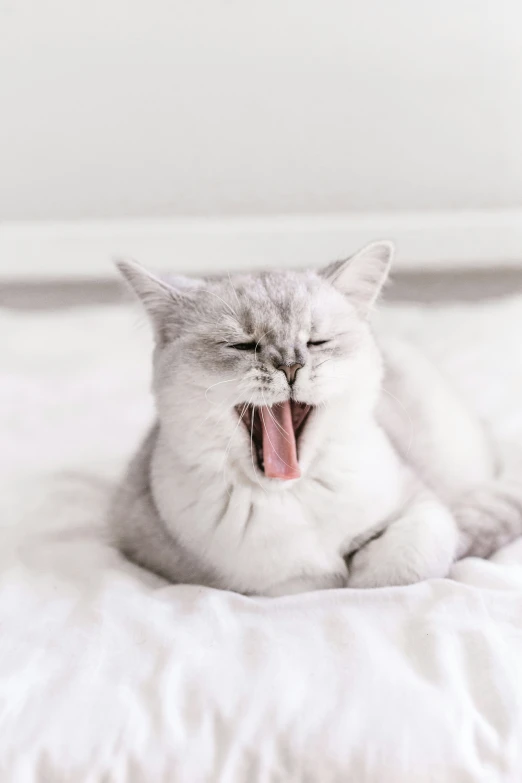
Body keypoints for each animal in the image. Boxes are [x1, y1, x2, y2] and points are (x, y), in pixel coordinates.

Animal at [108, 242, 520, 596]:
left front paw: (361, 565)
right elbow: (316, 582)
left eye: (317, 342)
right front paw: (341, 570)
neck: (293, 494)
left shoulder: (421, 501)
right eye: (242, 345)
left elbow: (401, 564)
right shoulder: (250, 581)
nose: (290, 365)